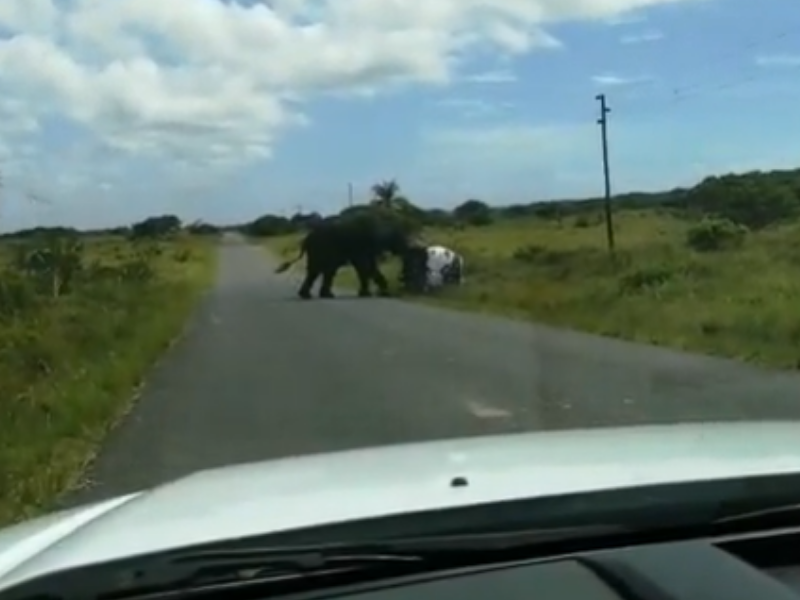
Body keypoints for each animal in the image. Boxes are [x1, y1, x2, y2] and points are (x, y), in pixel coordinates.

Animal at [276, 212, 418, 300]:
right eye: (398, 238)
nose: (401, 278)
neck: (383, 222)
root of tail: (306, 239)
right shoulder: (363, 244)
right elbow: (365, 267)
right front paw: (375, 294)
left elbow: (367, 266)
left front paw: (374, 293)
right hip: (321, 249)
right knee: (321, 270)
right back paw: (318, 295)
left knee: (319, 271)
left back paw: (313, 295)